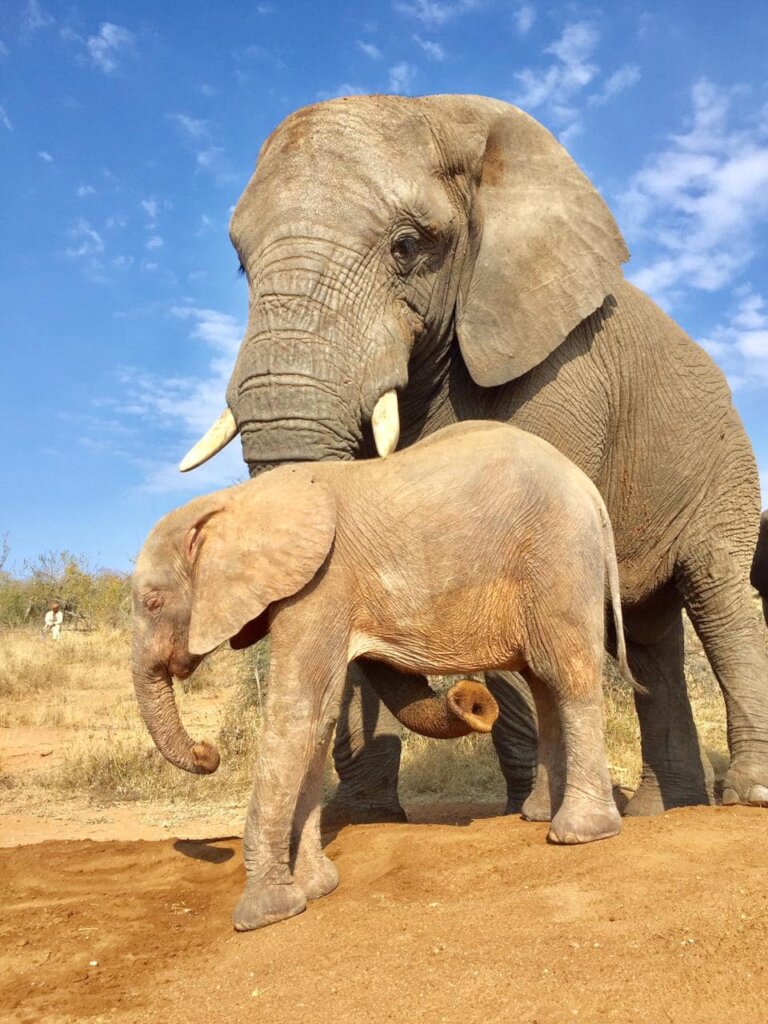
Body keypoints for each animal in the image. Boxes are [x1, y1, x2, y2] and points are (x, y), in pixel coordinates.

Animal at [134, 421, 637, 930]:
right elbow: (318, 719)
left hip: (560, 559)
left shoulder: (322, 584)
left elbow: (297, 711)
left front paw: (264, 914)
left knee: (568, 677)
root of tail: (591, 493)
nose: (206, 751)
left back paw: (579, 832)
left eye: (152, 602)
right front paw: (316, 888)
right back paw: (538, 816)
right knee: (543, 683)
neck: (231, 502)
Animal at [179, 93, 768, 819]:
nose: (467, 703)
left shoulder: (560, 371)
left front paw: (534, 813)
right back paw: (661, 809)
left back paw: (743, 795)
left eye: (408, 246)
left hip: (725, 462)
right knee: (650, 632)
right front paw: (364, 817)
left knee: (718, 595)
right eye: (241, 263)